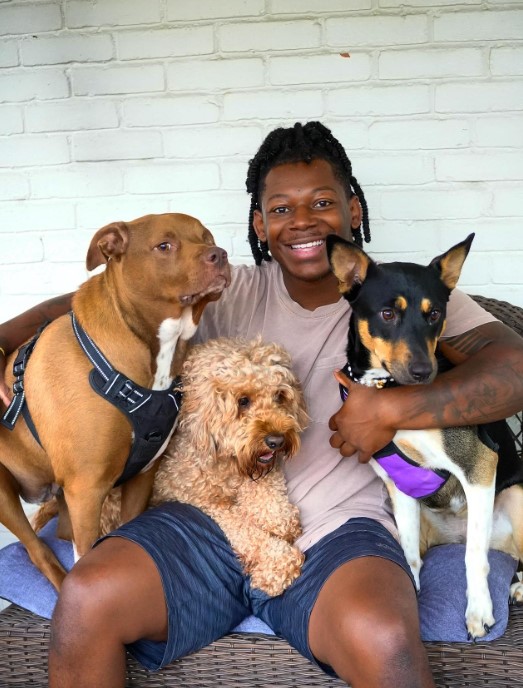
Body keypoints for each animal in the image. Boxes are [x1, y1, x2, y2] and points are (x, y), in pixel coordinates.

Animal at [0, 212, 230, 588]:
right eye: (164, 245)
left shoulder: (142, 475)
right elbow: (85, 557)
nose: (220, 254)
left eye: (207, 237)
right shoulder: (86, 490)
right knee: (38, 550)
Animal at [99, 338, 310, 596]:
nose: (277, 441)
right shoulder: (204, 500)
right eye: (243, 401)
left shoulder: (257, 468)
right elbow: (243, 529)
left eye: (280, 395)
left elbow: (268, 493)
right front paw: (277, 563)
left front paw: (280, 521)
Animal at [328, 234, 523, 644]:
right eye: (387, 314)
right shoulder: (400, 485)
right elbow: (408, 555)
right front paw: (415, 591)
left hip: (516, 495)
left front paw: (478, 611)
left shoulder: (480, 465)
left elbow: (474, 557)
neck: (388, 391)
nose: (423, 372)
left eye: (434, 314)